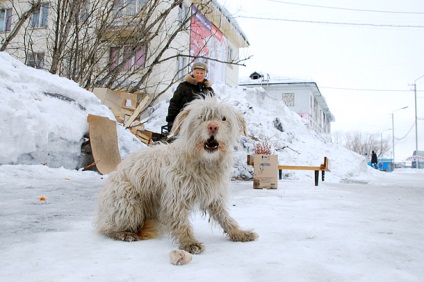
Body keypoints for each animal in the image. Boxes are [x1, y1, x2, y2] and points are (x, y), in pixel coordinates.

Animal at [96, 96, 256, 253]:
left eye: (223, 118)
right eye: (201, 117)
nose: (213, 127)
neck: (202, 161)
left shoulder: (213, 195)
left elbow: (225, 216)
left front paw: (238, 233)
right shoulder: (175, 196)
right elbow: (181, 221)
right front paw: (189, 242)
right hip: (129, 200)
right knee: (106, 228)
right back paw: (124, 234)